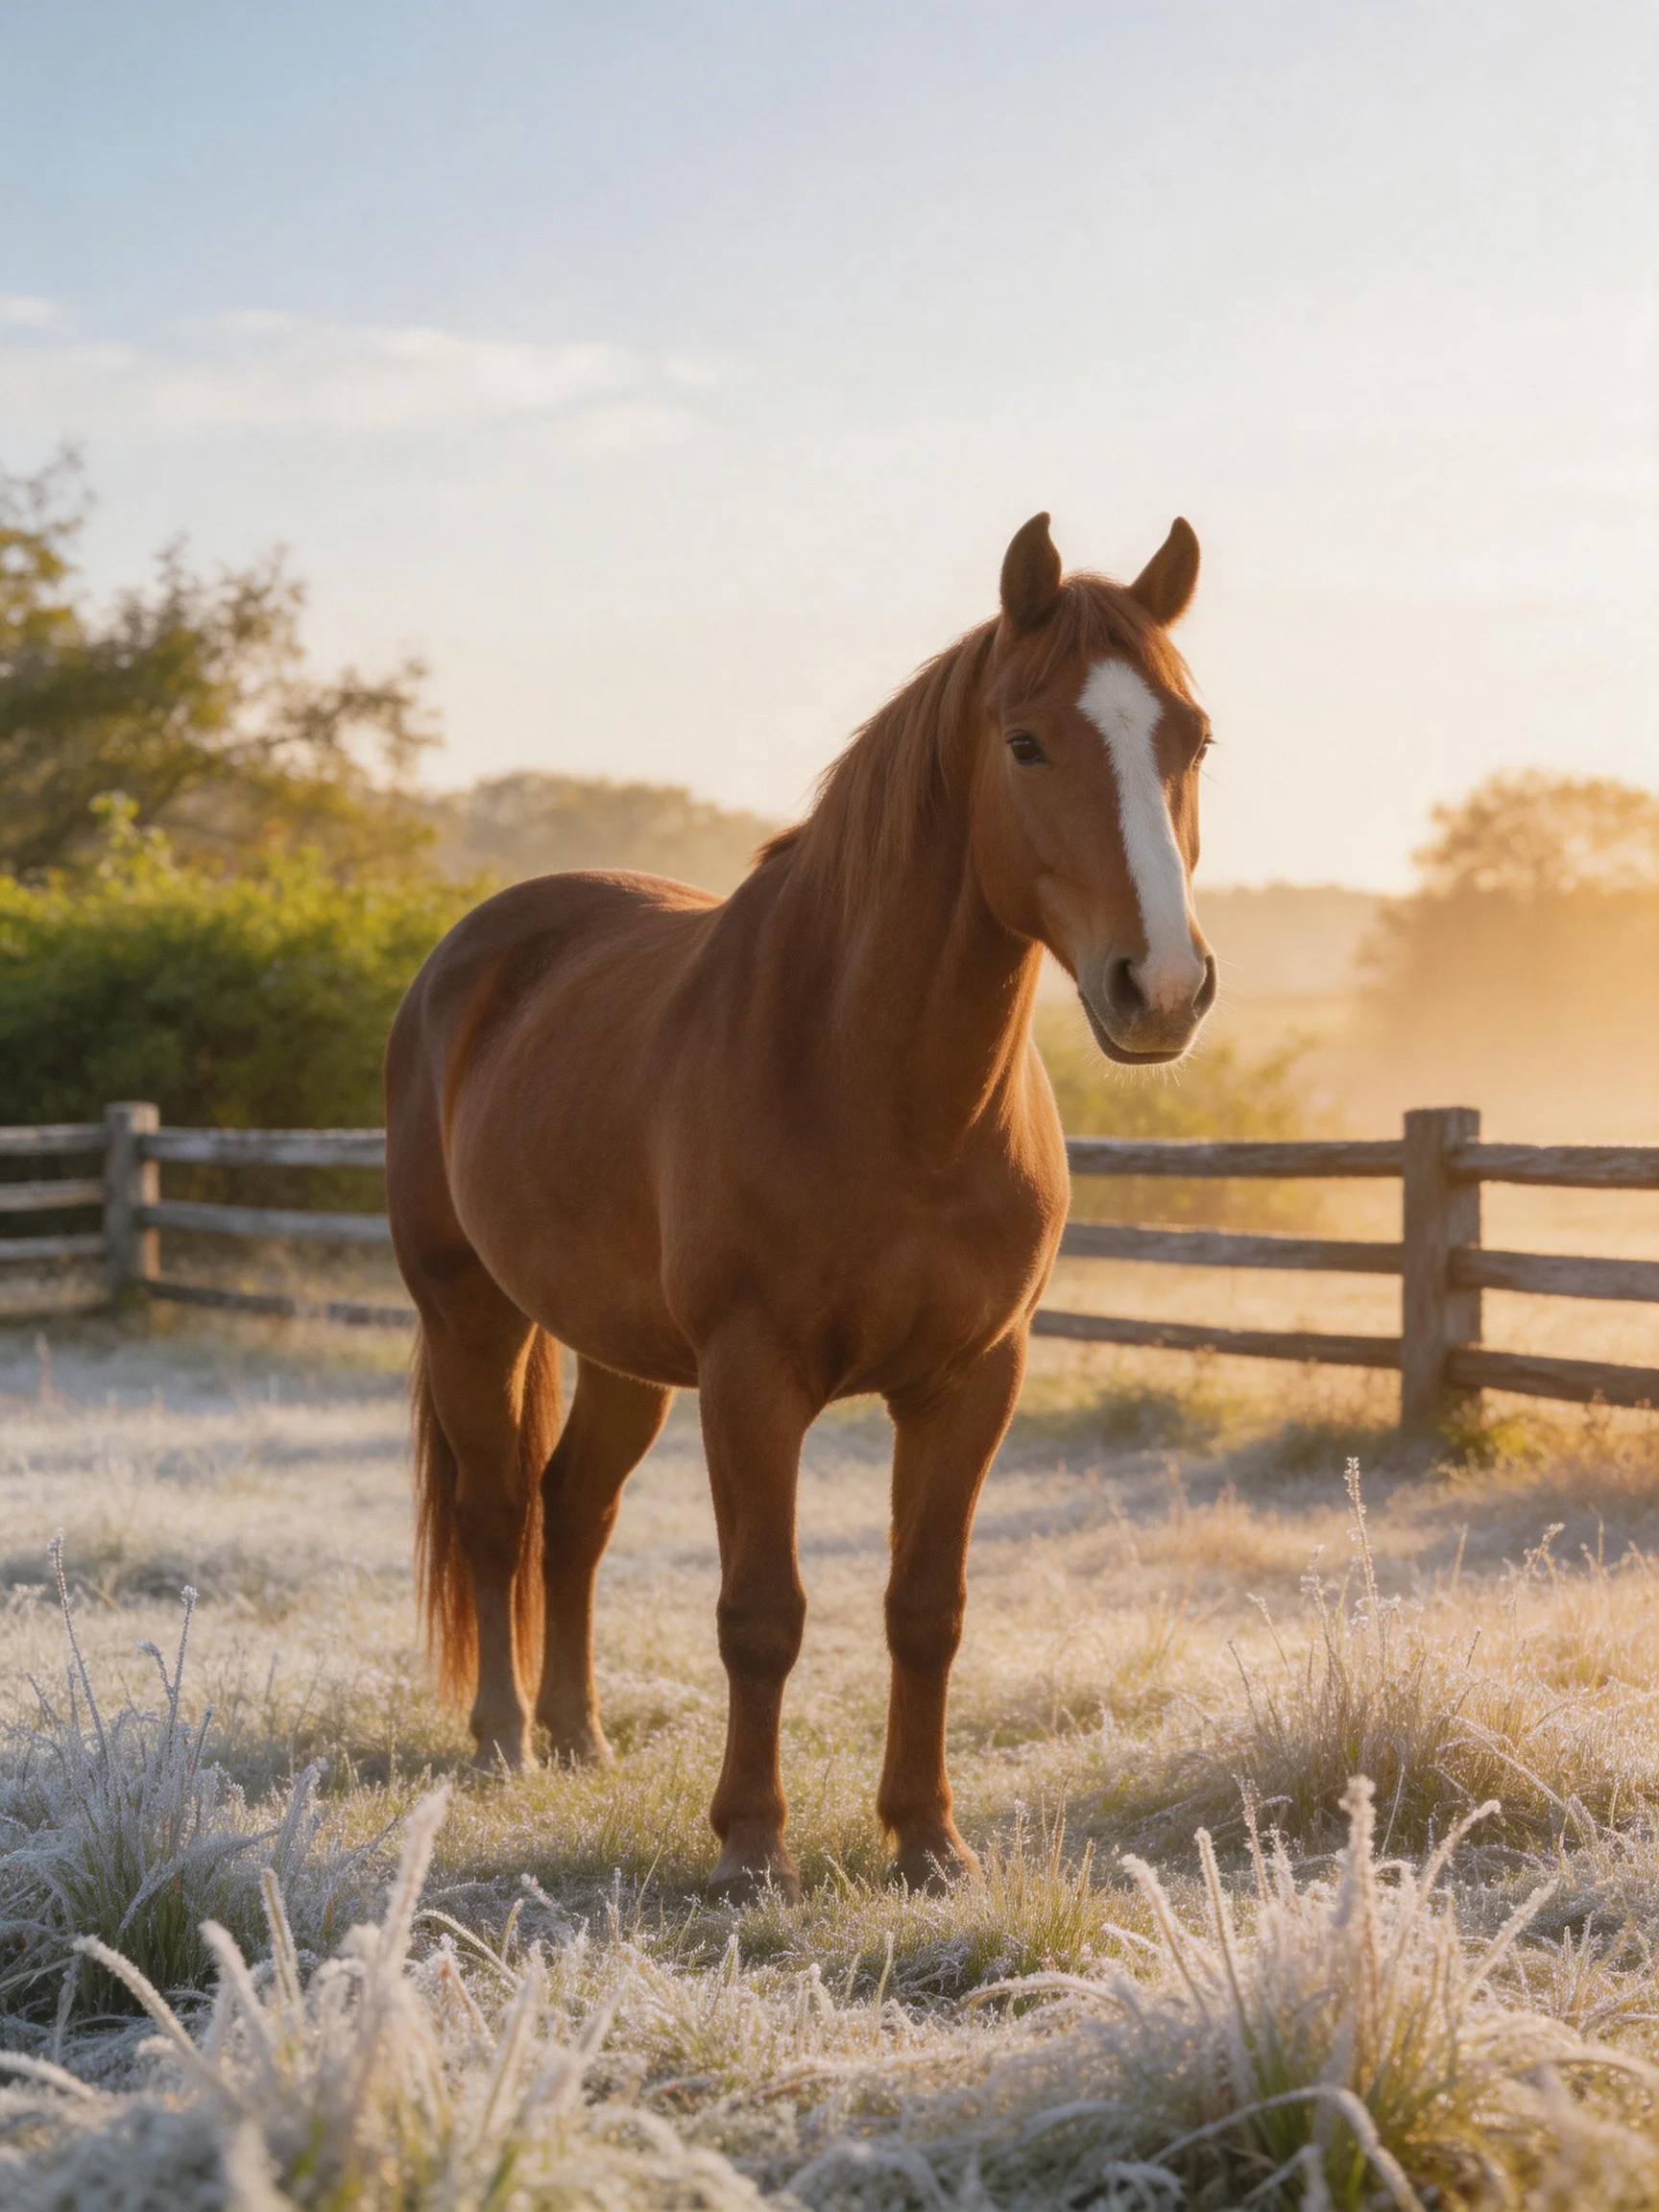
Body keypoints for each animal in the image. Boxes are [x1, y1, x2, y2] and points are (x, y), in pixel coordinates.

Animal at [384, 511, 1217, 1901]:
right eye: (1026, 741)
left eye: (1192, 738)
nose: (1159, 987)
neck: (875, 1082)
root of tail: (474, 951)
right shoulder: (752, 1377)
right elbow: (762, 1612)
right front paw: (750, 1846)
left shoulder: (973, 1379)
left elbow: (926, 1610)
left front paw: (928, 1840)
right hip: (471, 1314)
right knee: (500, 1511)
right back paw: (504, 1742)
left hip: (622, 1355)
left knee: (574, 1512)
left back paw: (578, 1735)